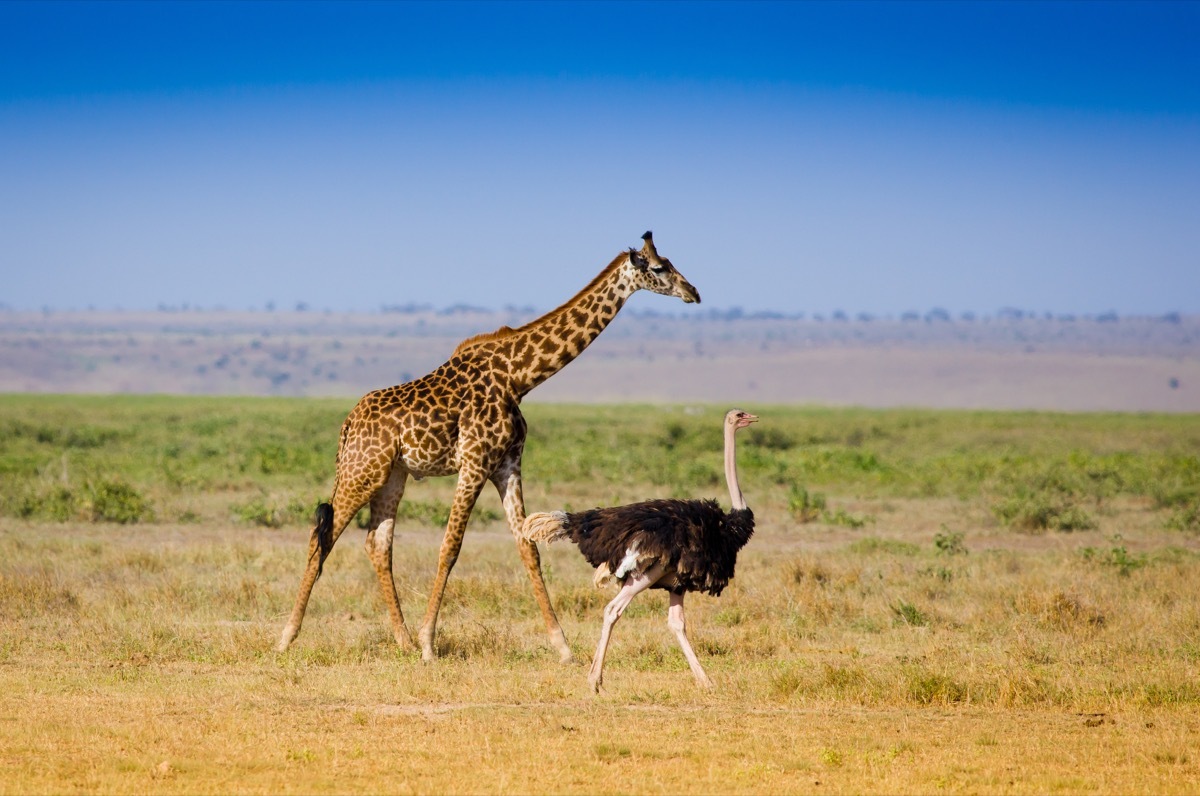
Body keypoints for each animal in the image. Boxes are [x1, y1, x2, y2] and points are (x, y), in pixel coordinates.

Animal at [276, 234, 700, 662]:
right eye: (660, 268)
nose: (693, 292)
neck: (519, 376)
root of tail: (347, 425)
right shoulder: (475, 462)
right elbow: (450, 547)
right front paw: (429, 644)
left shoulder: (507, 464)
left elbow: (528, 548)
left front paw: (562, 647)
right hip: (363, 470)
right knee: (321, 536)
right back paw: (287, 637)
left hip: (394, 475)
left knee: (377, 544)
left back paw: (402, 640)